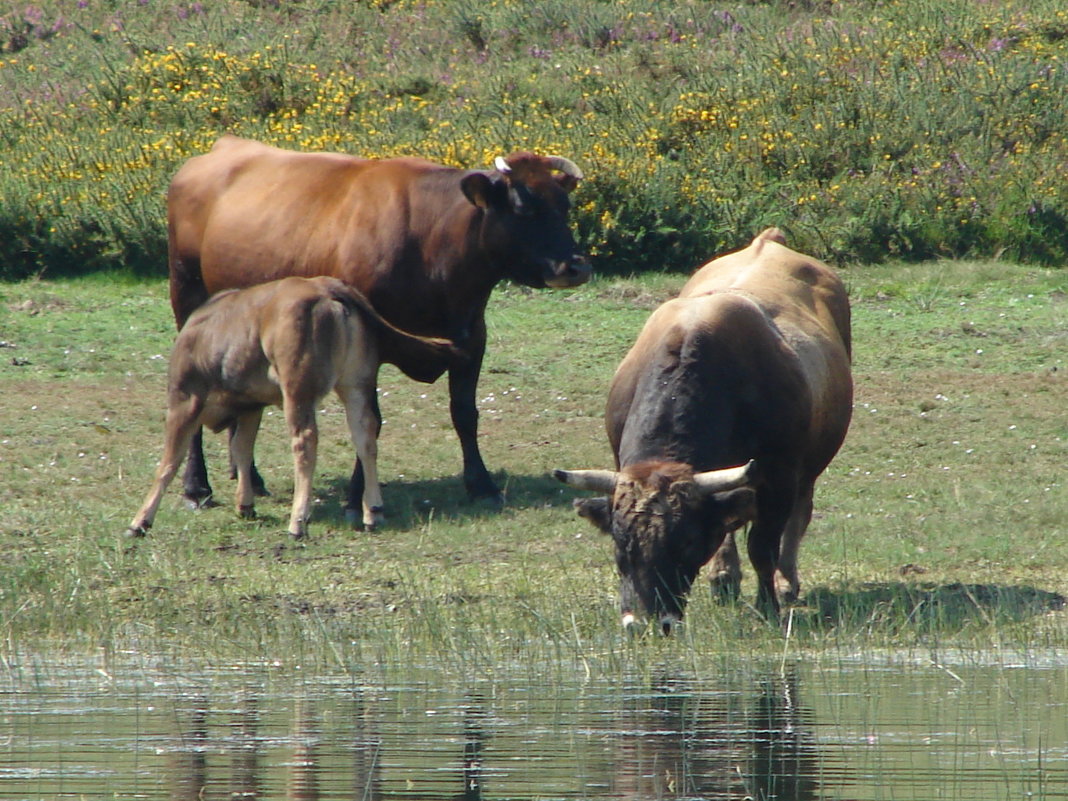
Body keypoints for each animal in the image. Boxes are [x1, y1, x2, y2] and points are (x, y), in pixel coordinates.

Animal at [124, 275, 459, 540]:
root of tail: (327, 287)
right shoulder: (251, 405)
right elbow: (242, 449)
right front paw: (245, 504)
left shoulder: (184, 398)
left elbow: (169, 462)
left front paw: (140, 521)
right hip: (357, 384)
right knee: (365, 436)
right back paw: (373, 512)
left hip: (298, 389)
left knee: (305, 441)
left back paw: (298, 521)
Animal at [166, 135, 589, 514]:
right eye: (523, 207)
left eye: (565, 204)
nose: (576, 266)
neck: (433, 245)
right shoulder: (368, 345)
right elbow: (370, 421)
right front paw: (358, 497)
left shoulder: (472, 338)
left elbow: (465, 414)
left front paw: (482, 485)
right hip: (186, 297)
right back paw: (196, 487)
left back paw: (249, 477)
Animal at [555, 228, 854, 632]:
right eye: (620, 543)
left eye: (685, 543)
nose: (647, 623)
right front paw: (724, 578)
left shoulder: (779, 477)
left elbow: (763, 546)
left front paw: (768, 605)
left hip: (809, 467)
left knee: (799, 514)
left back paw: (785, 580)